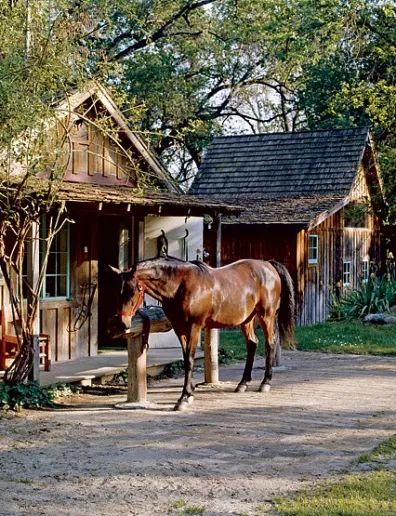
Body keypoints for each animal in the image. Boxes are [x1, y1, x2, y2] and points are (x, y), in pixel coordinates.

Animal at [110, 256, 296, 412]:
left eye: (134, 289)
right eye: (117, 291)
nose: (122, 323)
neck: (181, 286)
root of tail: (268, 265)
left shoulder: (194, 327)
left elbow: (190, 360)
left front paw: (184, 398)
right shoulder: (179, 329)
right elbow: (186, 359)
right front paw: (190, 393)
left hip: (267, 316)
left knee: (270, 343)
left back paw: (265, 383)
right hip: (247, 319)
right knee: (252, 344)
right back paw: (243, 383)